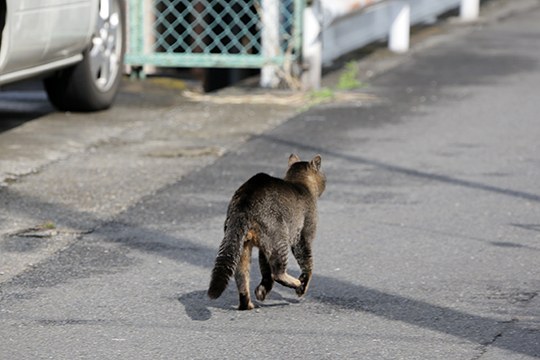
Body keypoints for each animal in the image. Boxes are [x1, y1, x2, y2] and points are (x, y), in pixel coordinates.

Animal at [207, 154, 324, 310]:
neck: (300, 184)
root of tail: (245, 200)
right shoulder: (302, 237)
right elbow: (308, 265)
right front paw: (302, 287)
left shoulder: (264, 249)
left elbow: (266, 271)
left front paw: (261, 291)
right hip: (279, 238)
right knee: (278, 272)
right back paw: (295, 283)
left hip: (244, 247)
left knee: (242, 278)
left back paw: (247, 304)